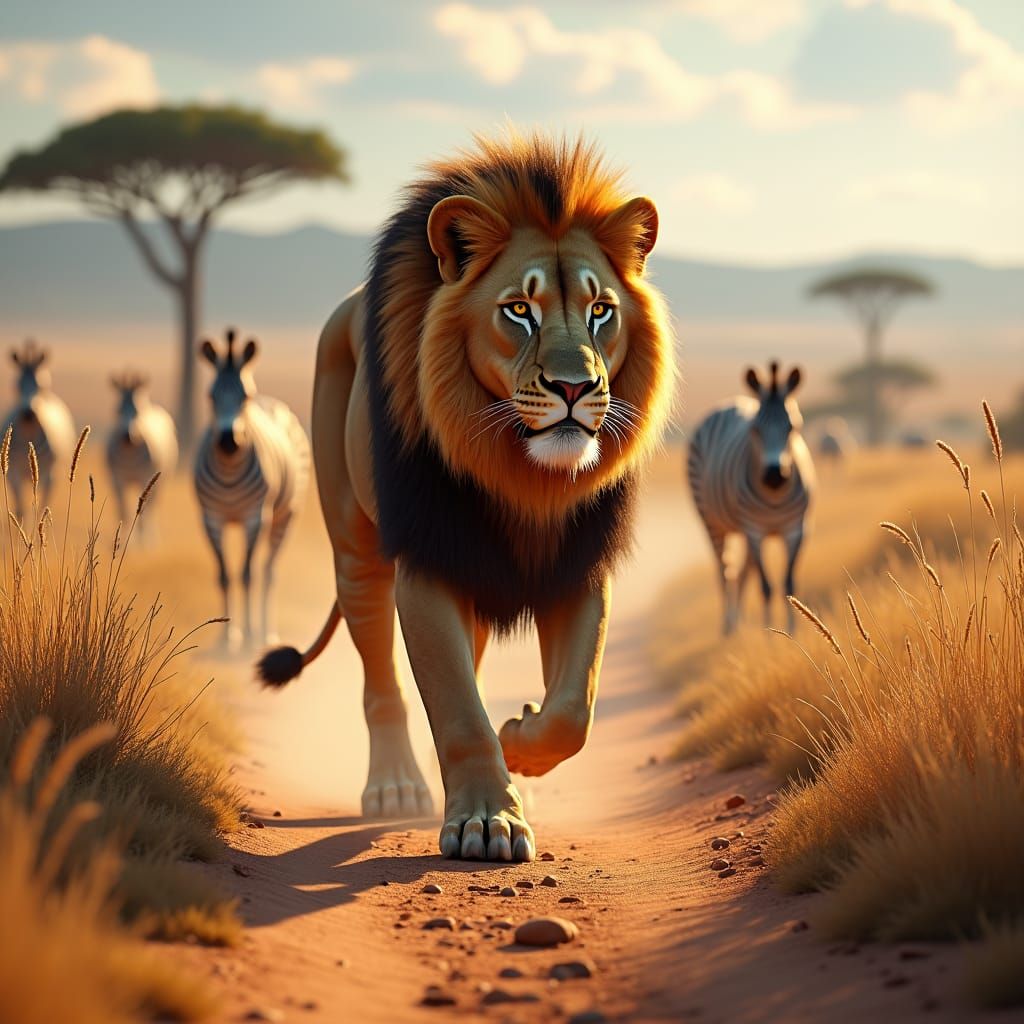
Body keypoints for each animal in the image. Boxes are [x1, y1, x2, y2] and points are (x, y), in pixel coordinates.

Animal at [257, 132, 675, 862]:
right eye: (519, 310)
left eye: (601, 311)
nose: (574, 387)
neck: (523, 475)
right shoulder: (429, 558)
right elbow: (454, 705)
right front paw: (487, 820)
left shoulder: (579, 561)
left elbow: (574, 709)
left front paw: (521, 742)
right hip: (357, 550)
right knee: (382, 679)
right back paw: (396, 787)